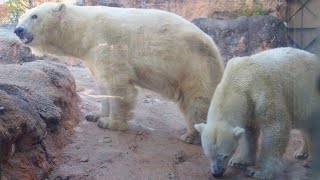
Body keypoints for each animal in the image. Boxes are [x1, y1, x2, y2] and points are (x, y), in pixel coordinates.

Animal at [13, 2, 224, 143]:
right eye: (21, 17)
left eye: (34, 16)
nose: (18, 30)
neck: (82, 30)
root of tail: (213, 45)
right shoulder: (91, 55)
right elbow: (101, 84)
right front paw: (95, 115)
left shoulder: (106, 43)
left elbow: (117, 83)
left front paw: (110, 123)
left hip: (194, 65)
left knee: (198, 100)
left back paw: (192, 135)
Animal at [194, 47, 320, 179]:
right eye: (208, 155)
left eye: (224, 155)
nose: (216, 173)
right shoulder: (249, 106)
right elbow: (249, 131)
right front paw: (239, 161)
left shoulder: (263, 90)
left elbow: (275, 126)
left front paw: (258, 171)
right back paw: (302, 152)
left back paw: (312, 160)